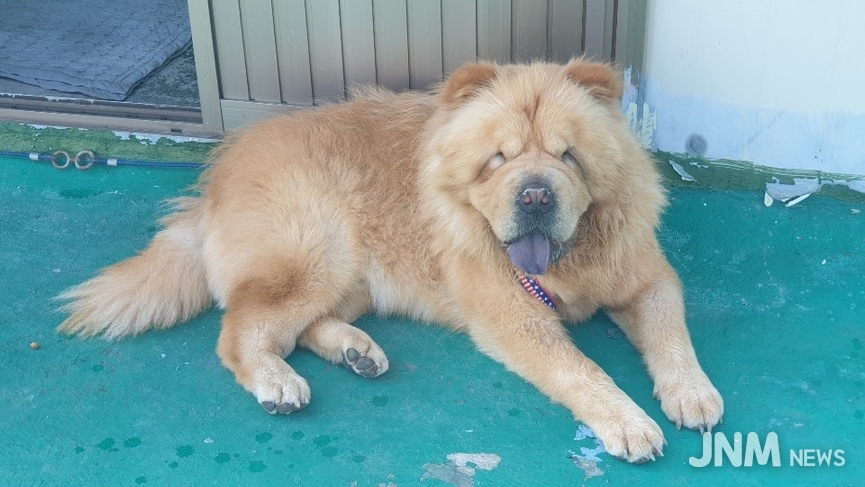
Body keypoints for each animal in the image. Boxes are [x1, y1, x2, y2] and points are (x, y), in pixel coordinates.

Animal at [58, 59, 723, 463]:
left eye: (568, 156)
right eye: (499, 158)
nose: (536, 195)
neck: (568, 261)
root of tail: (218, 178)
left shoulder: (647, 277)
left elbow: (672, 332)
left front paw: (691, 392)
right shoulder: (517, 316)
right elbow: (582, 371)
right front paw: (630, 422)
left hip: (352, 279)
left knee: (300, 326)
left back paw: (356, 351)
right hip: (315, 255)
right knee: (244, 327)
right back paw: (278, 382)